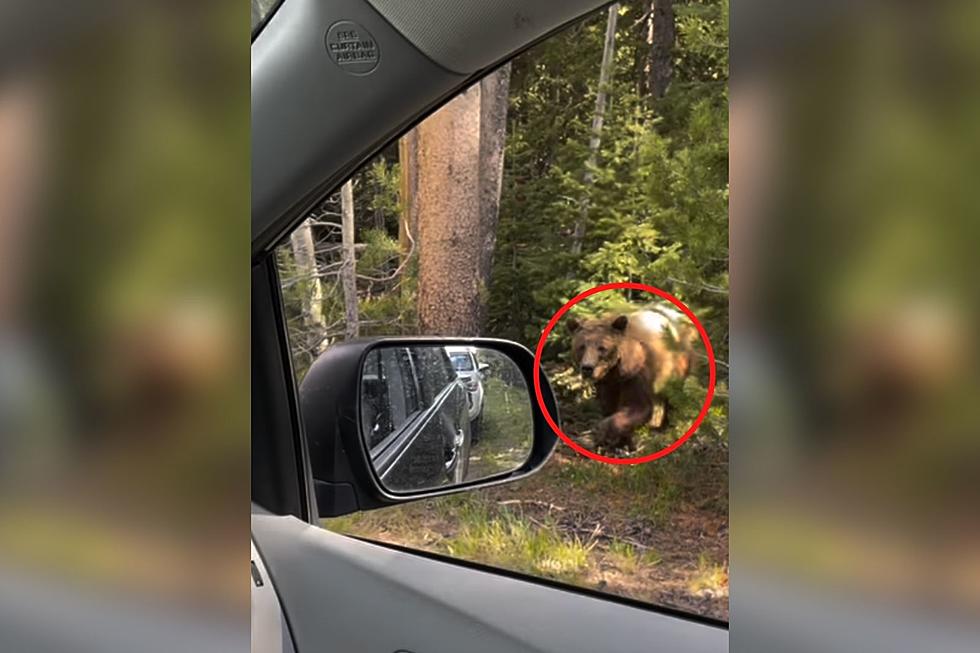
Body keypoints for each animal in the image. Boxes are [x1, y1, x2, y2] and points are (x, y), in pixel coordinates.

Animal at [568, 306, 696, 450]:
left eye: (602, 348)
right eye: (581, 347)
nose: (587, 368)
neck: (615, 371)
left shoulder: (637, 374)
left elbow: (637, 407)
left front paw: (598, 435)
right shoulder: (608, 383)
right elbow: (609, 405)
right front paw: (618, 441)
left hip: (676, 367)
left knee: (675, 397)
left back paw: (667, 427)